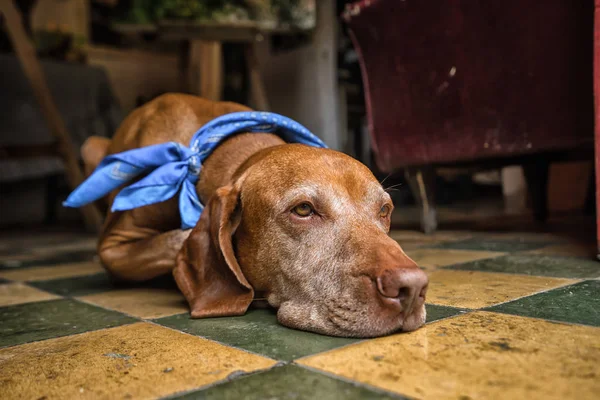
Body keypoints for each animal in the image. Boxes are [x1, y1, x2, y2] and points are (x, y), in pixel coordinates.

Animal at [77, 94, 428, 338]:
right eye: (303, 209)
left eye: (384, 210)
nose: (412, 287)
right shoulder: (112, 247)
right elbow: (178, 238)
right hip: (89, 147)